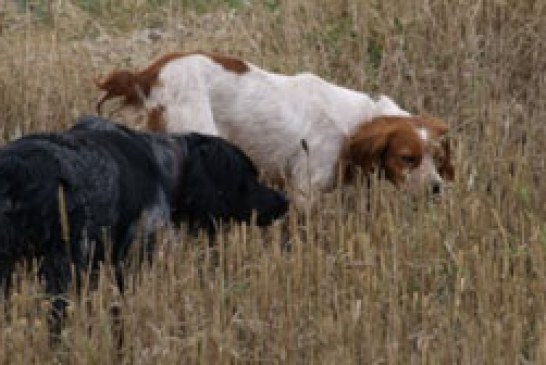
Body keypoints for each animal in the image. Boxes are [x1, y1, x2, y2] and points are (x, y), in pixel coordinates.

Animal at [0, 116, 286, 336]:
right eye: (248, 177)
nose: (284, 201)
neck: (166, 164)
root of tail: (16, 171)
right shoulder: (133, 253)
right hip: (62, 264)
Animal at [95, 50, 452, 208]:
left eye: (436, 158)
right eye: (407, 158)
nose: (436, 188)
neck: (355, 123)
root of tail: (149, 74)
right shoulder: (305, 190)